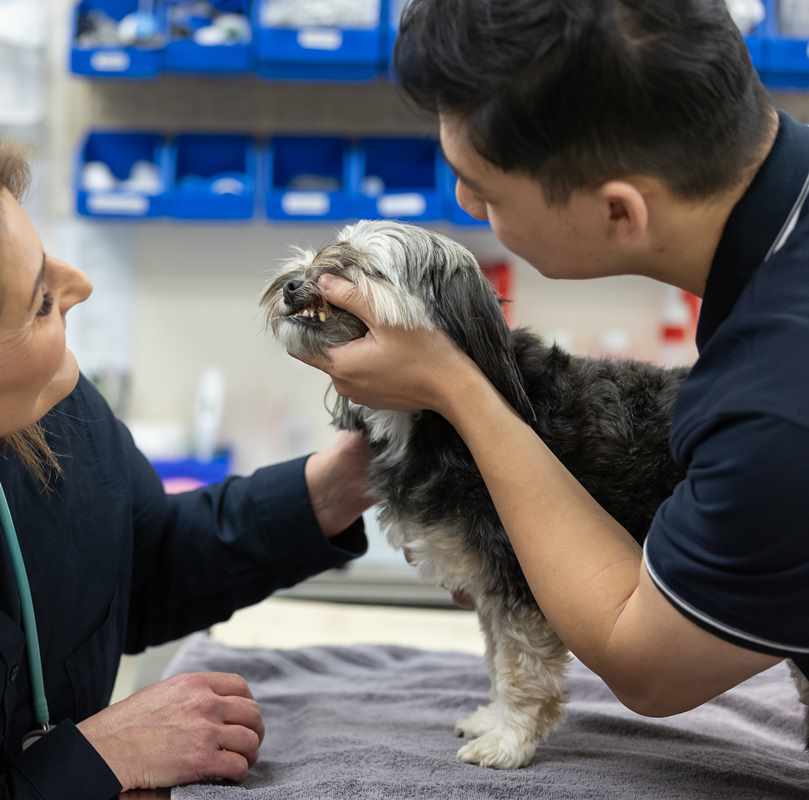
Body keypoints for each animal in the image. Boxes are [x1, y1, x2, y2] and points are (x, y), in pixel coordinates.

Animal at [262, 219, 804, 768]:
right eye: (328, 251)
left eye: (362, 267)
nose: (293, 284)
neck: (438, 420)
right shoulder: (488, 582)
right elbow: (498, 657)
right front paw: (493, 719)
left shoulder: (518, 578)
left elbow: (523, 669)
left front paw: (508, 740)